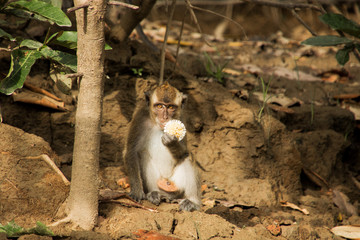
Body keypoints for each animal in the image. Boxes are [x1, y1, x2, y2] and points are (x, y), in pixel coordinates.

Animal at [124, 81, 201, 211]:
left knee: (188, 157)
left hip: (176, 184)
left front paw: (172, 143)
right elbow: (131, 151)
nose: (165, 117)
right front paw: (137, 191)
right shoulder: (140, 118)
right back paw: (155, 194)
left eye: (171, 107)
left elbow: (183, 152)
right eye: (159, 106)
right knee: (143, 154)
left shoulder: (182, 119)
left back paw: (192, 201)